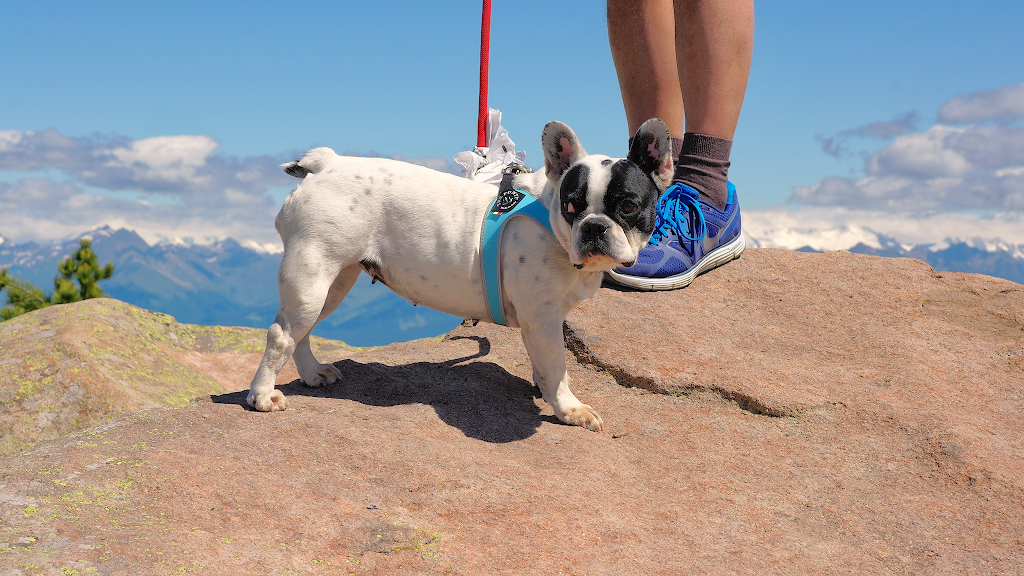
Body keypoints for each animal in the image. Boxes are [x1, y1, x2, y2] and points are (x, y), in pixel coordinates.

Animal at [248, 118, 675, 428]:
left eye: (629, 206)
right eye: (572, 206)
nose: (594, 227)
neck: (551, 221)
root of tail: (327, 164)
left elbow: (546, 364)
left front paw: (546, 390)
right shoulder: (542, 319)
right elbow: (557, 365)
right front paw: (568, 408)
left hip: (335, 280)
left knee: (302, 330)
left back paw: (312, 374)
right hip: (312, 273)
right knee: (282, 334)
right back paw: (262, 397)